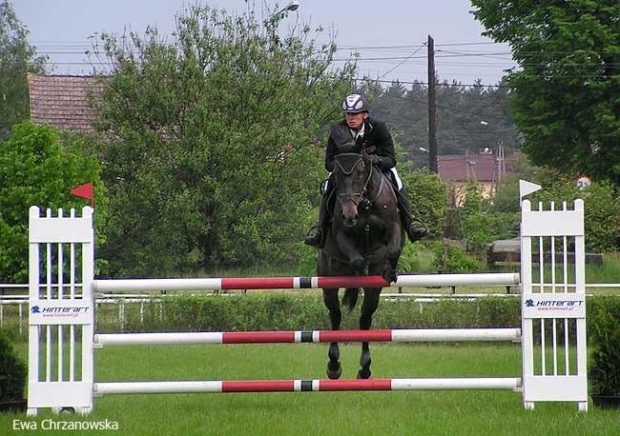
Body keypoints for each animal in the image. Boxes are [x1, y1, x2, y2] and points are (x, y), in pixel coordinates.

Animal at [318, 152, 404, 380]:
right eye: (336, 176)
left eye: (360, 173)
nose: (349, 216)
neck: (365, 204)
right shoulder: (342, 233)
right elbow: (356, 258)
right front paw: (361, 268)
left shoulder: (393, 226)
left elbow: (393, 249)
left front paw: (390, 271)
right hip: (328, 282)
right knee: (335, 316)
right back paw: (333, 366)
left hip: (373, 292)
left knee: (365, 318)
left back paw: (365, 368)